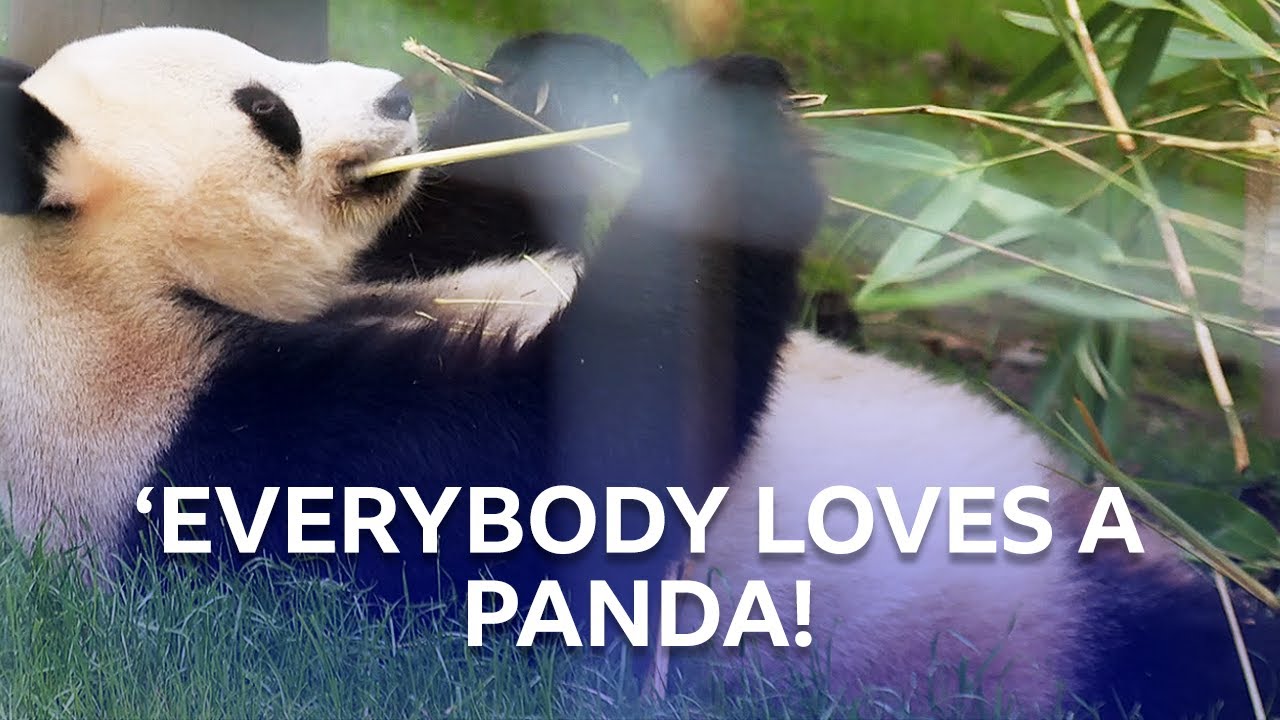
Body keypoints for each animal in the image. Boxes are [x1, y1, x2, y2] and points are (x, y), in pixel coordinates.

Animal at [0, 25, 826, 675]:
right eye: (264, 109)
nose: (397, 95)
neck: (94, 282)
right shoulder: (200, 439)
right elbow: (566, 478)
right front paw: (730, 126)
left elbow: (437, 224)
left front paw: (564, 81)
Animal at [357, 32, 1280, 719]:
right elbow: (583, 467)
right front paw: (729, 120)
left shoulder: (405, 256)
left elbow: (442, 210)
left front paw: (559, 84)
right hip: (1049, 625)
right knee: (1191, 652)